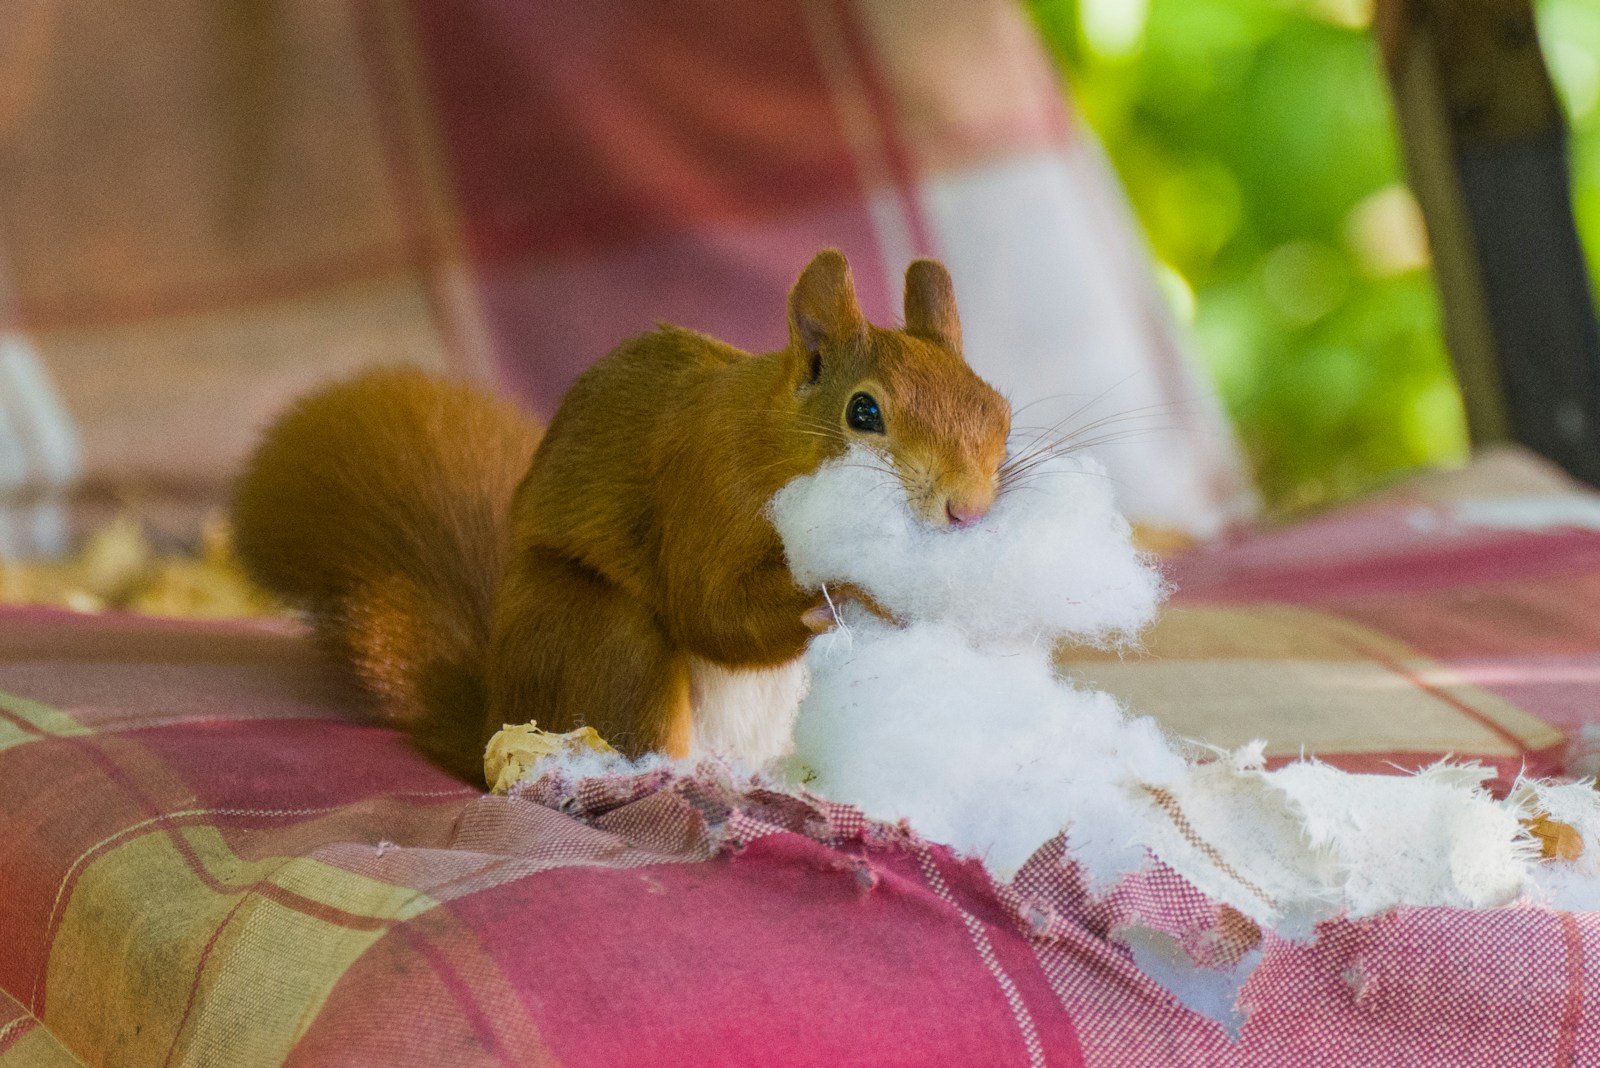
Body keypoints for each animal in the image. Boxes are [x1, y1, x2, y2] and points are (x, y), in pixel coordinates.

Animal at [233, 254, 1011, 780]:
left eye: (998, 409)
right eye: (864, 412)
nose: (968, 510)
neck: (772, 436)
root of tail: (495, 719)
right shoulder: (706, 488)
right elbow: (711, 609)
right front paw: (848, 591)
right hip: (607, 640)